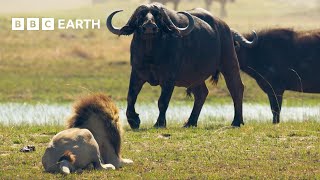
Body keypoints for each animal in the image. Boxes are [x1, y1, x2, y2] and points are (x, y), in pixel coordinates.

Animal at [106, 3, 251, 129]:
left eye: (158, 16)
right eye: (141, 15)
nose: (149, 26)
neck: (151, 55)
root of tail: (224, 27)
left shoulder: (169, 79)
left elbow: (162, 101)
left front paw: (159, 123)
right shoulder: (136, 74)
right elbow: (131, 97)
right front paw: (134, 121)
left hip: (229, 63)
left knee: (236, 88)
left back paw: (236, 121)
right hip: (195, 76)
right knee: (201, 93)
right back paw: (190, 122)